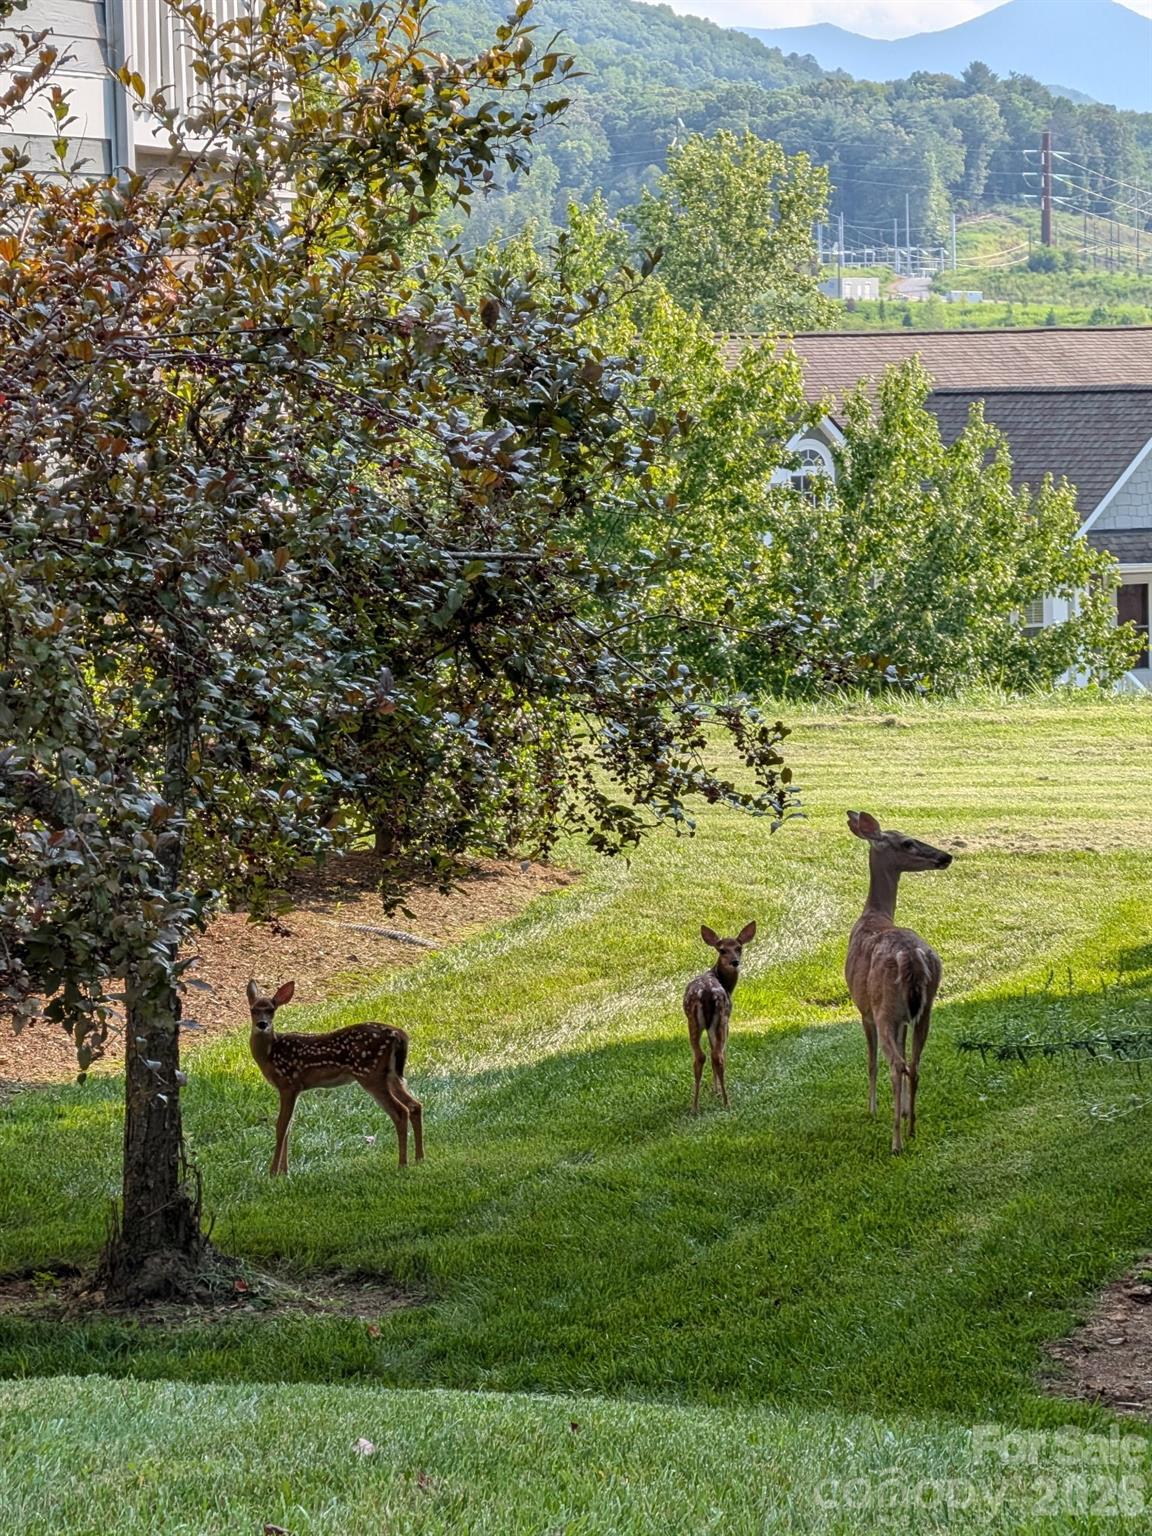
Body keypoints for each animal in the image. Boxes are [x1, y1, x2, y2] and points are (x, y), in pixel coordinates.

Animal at [246, 980, 423, 1175]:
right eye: (253, 1010)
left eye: (271, 1010)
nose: (262, 1024)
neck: (270, 1054)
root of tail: (399, 1034)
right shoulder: (294, 1088)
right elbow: (289, 1127)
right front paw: (285, 1171)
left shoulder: (288, 1083)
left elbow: (281, 1127)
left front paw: (273, 1173)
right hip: (391, 1075)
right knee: (415, 1105)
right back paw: (419, 1159)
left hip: (370, 1074)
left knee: (400, 1111)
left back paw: (402, 1163)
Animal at [683, 922, 756, 1113]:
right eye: (722, 950)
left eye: (739, 948)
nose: (735, 962)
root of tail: (707, 995)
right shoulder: (727, 1021)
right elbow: (721, 1051)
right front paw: (716, 1091)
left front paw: (714, 1090)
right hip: (721, 1017)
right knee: (718, 1055)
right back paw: (726, 1102)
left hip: (693, 1022)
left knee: (701, 1056)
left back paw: (695, 1107)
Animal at [845, 811, 953, 1154]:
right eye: (907, 842)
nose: (945, 856)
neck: (873, 915)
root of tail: (914, 959)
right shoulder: (905, 1018)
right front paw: (903, 1112)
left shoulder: (865, 1010)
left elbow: (870, 1061)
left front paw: (872, 1109)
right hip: (925, 1009)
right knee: (914, 1064)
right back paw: (912, 1127)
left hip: (884, 1008)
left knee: (896, 1064)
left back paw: (896, 1142)